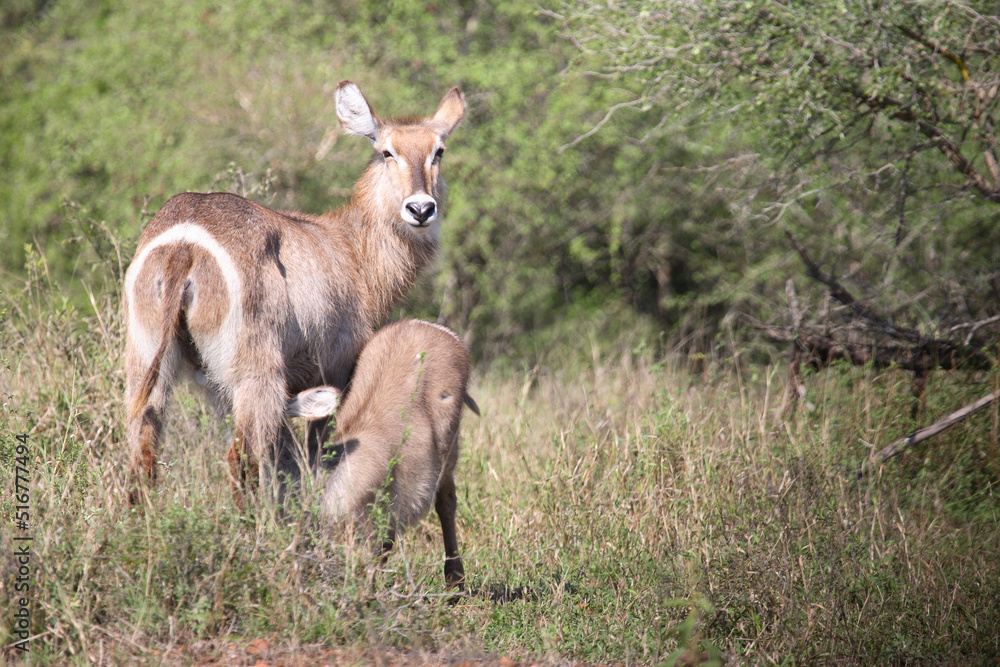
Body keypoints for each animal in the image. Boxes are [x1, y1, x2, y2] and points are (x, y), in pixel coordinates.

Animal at [124, 79, 464, 506]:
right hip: (257, 372)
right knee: (241, 457)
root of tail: (185, 243)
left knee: (143, 451)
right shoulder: (336, 370)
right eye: (387, 151)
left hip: (147, 359)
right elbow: (314, 455)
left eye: (439, 151)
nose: (420, 209)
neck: (351, 250)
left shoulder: (224, 391)